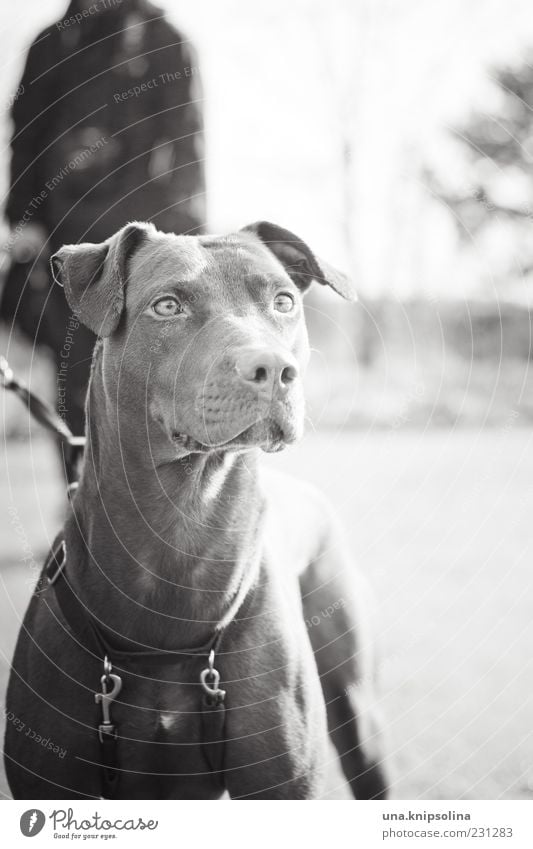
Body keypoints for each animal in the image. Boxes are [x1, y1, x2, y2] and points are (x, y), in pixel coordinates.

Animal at [4, 217, 386, 796]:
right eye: (167, 306)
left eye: (283, 301)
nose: (274, 367)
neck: (185, 514)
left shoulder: (284, 782)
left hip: (358, 711)